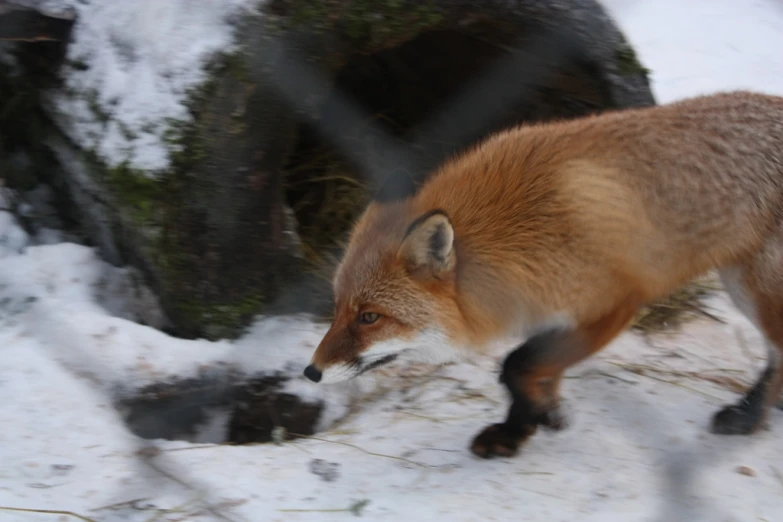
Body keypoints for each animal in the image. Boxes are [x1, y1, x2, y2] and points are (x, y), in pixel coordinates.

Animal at [304, 91, 783, 458]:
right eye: (337, 307)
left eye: (370, 317)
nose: (311, 373)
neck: (520, 234)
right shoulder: (548, 311)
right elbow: (534, 369)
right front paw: (531, 419)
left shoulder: (611, 308)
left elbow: (516, 365)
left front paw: (524, 424)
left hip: (755, 290)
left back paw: (748, 418)